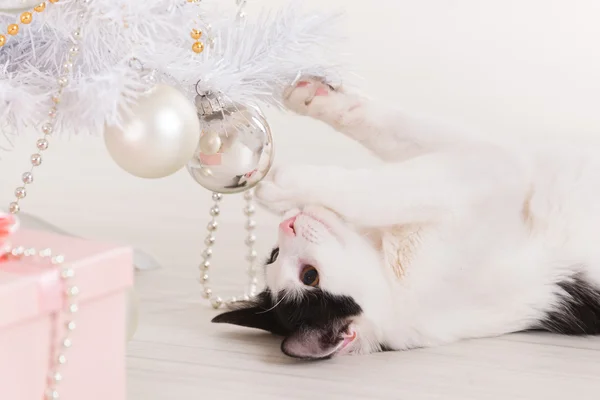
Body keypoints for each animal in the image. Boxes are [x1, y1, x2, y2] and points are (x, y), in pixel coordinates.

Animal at [210, 76, 600, 360]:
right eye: (308, 276)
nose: (286, 225)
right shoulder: (489, 173)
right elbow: (392, 188)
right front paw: (283, 185)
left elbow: (398, 131)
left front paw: (315, 97)